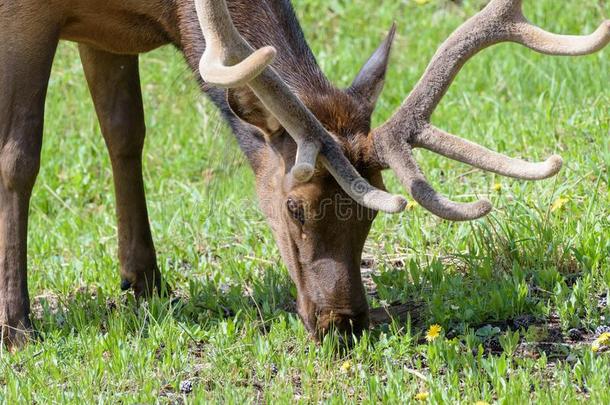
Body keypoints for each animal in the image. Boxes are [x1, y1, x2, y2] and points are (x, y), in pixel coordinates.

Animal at [0, 0, 604, 348]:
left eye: (370, 215)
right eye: (295, 207)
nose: (345, 325)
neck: (158, 12)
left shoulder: (106, 32)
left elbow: (125, 134)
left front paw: (144, 282)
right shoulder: (27, 18)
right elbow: (19, 158)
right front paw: (16, 324)